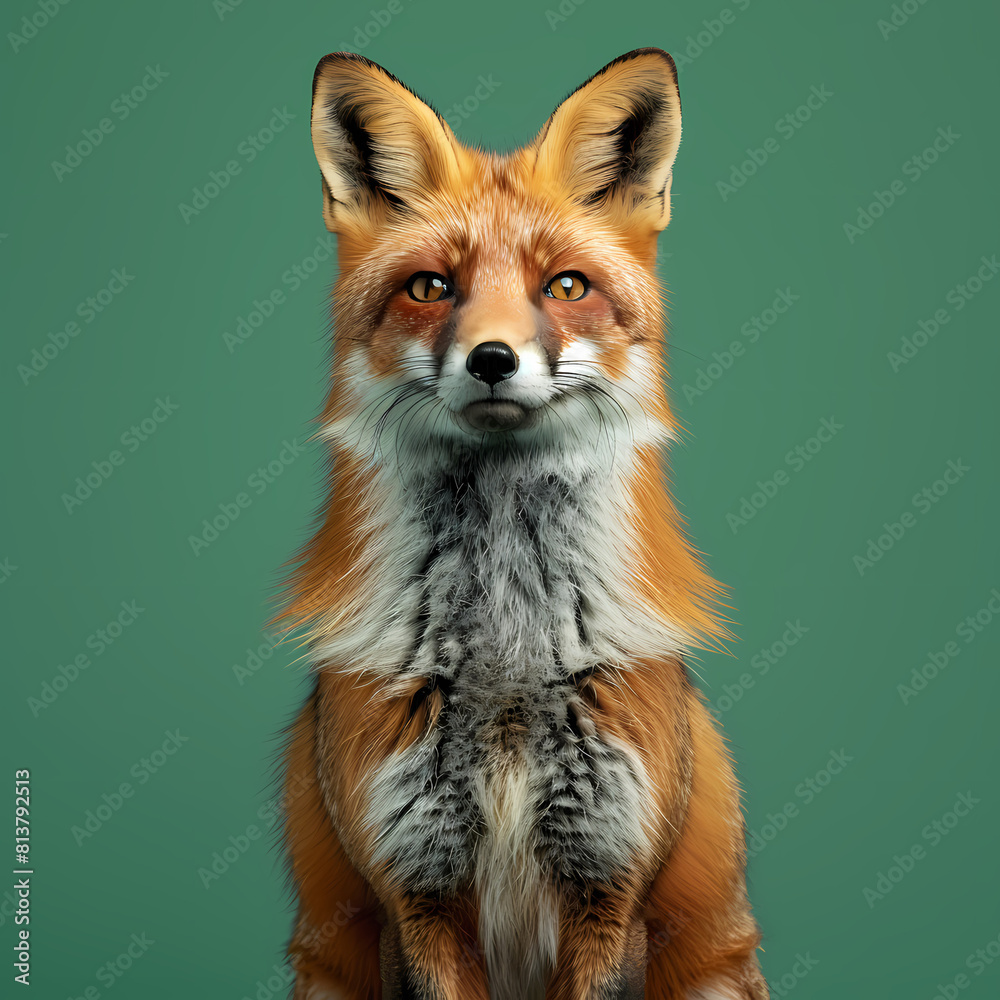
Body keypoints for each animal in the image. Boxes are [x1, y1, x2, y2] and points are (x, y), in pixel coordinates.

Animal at [277, 47, 768, 1000]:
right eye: (431, 288)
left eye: (565, 286)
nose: (493, 359)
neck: (506, 666)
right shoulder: (414, 893)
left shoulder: (611, 884)